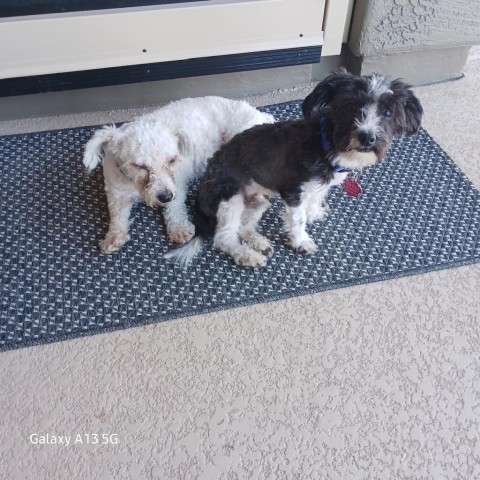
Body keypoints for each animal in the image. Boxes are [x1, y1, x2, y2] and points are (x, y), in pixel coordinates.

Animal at [82, 98, 274, 255]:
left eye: (172, 160)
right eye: (139, 166)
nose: (165, 196)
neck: (135, 186)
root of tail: (260, 114)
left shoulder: (177, 185)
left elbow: (175, 208)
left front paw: (179, 228)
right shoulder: (116, 194)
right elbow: (117, 217)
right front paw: (113, 237)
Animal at [166, 71, 424, 268]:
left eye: (388, 112)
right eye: (350, 106)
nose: (367, 137)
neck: (326, 145)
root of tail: (200, 198)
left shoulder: (316, 188)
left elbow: (314, 201)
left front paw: (315, 213)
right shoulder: (293, 192)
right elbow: (298, 219)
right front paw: (302, 241)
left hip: (260, 201)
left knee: (244, 226)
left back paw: (258, 242)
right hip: (231, 198)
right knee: (224, 237)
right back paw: (248, 255)